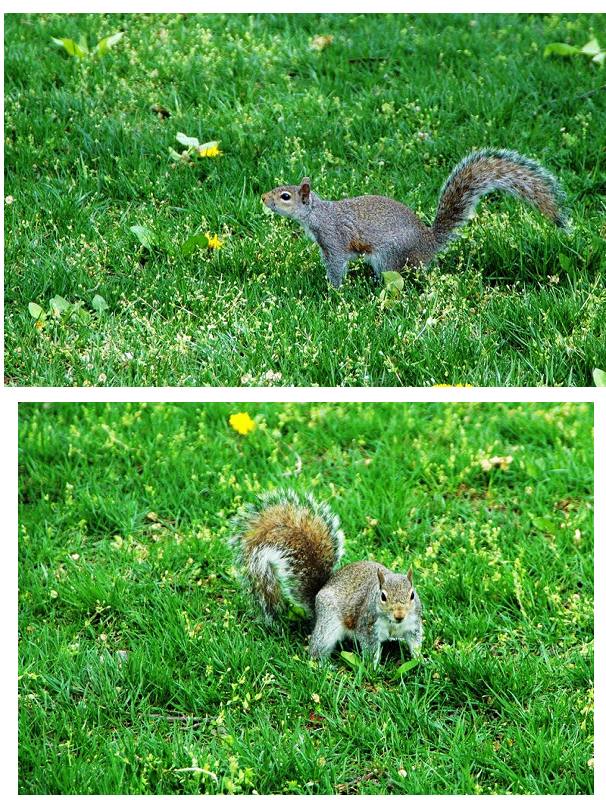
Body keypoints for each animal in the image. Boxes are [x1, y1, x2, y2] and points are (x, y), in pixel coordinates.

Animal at [230, 490, 426, 664]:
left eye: (412, 595)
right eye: (383, 596)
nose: (400, 615)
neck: (394, 624)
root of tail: (319, 594)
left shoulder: (413, 625)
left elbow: (415, 642)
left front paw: (421, 660)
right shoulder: (368, 627)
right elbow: (370, 650)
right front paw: (373, 669)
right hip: (328, 624)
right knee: (318, 647)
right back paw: (323, 666)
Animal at [264, 150, 572, 288]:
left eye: (285, 196)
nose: (263, 199)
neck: (317, 213)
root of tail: (428, 244)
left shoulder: (334, 240)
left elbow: (337, 265)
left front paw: (333, 289)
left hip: (389, 256)